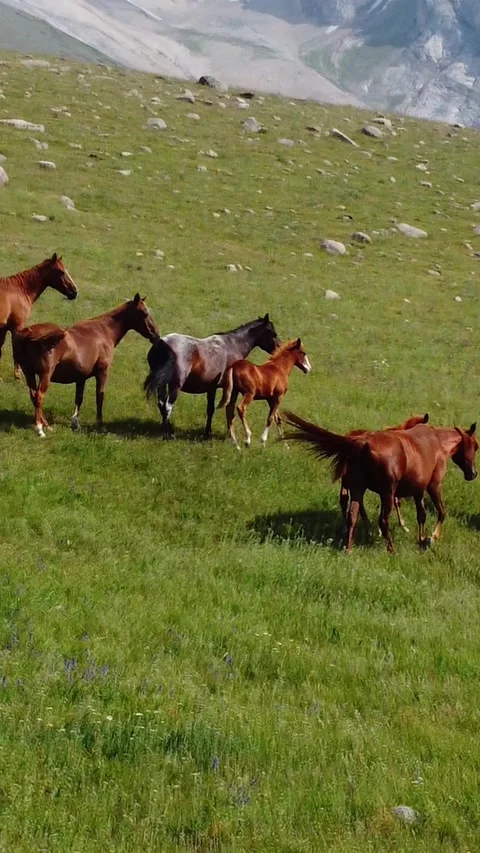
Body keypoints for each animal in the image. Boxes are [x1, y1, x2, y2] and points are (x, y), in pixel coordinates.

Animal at [13, 294, 158, 437]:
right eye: (144, 313)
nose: (156, 335)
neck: (103, 331)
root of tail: (30, 333)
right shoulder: (102, 372)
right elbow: (99, 397)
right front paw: (100, 424)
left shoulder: (80, 377)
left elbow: (79, 399)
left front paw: (75, 424)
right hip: (45, 375)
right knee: (39, 396)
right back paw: (40, 428)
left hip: (29, 373)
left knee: (33, 396)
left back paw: (47, 426)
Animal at [144, 314, 279, 439]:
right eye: (273, 333)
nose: (277, 351)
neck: (233, 346)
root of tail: (162, 344)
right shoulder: (231, 389)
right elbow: (229, 410)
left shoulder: (211, 388)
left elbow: (210, 410)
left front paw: (207, 433)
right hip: (175, 385)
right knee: (167, 406)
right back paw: (168, 434)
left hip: (162, 384)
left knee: (161, 404)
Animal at [282, 411, 478, 553]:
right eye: (476, 446)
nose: (473, 474)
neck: (437, 442)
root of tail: (361, 442)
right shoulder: (433, 486)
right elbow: (441, 512)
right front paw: (431, 539)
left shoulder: (418, 490)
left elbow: (421, 515)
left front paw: (421, 540)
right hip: (386, 493)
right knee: (382, 520)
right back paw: (391, 550)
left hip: (358, 488)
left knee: (352, 513)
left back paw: (349, 549)